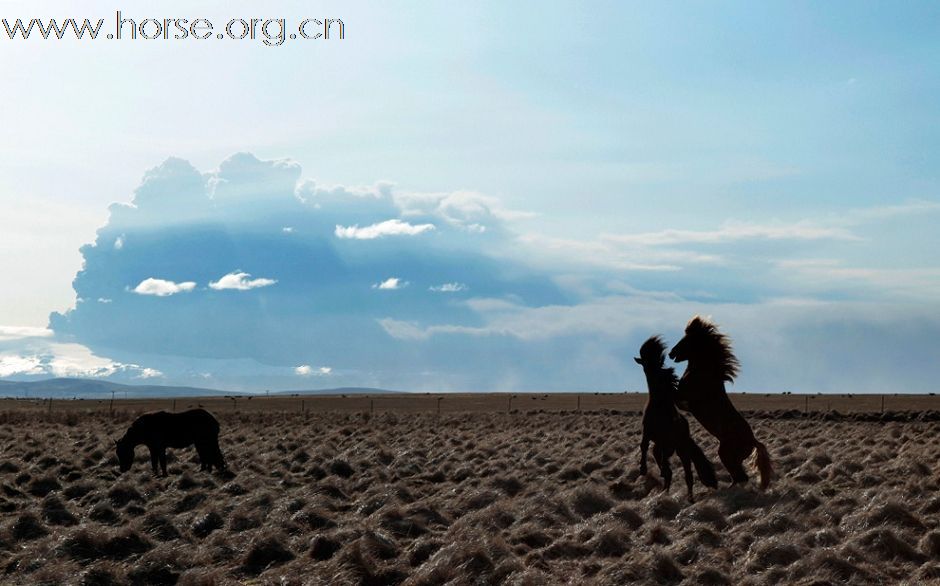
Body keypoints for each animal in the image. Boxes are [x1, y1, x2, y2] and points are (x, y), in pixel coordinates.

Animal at [636, 336, 716, 500]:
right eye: (645, 362)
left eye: (658, 361)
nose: (653, 371)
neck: (659, 406)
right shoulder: (647, 432)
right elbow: (643, 446)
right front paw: (642, 468)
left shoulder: (665, 440)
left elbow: (664, 459)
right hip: (663, 449)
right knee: (668, 472)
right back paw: (663, 494)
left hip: (682, 451)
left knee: (688, 475)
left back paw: (690, 499)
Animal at [672, 314, 776, 488]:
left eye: (686, 340)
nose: (671, 353)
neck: (703, 373)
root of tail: (753, 441)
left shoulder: (685, 400)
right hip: (731, 457)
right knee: (739, 477)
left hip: (726, 454)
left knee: (741, 477)